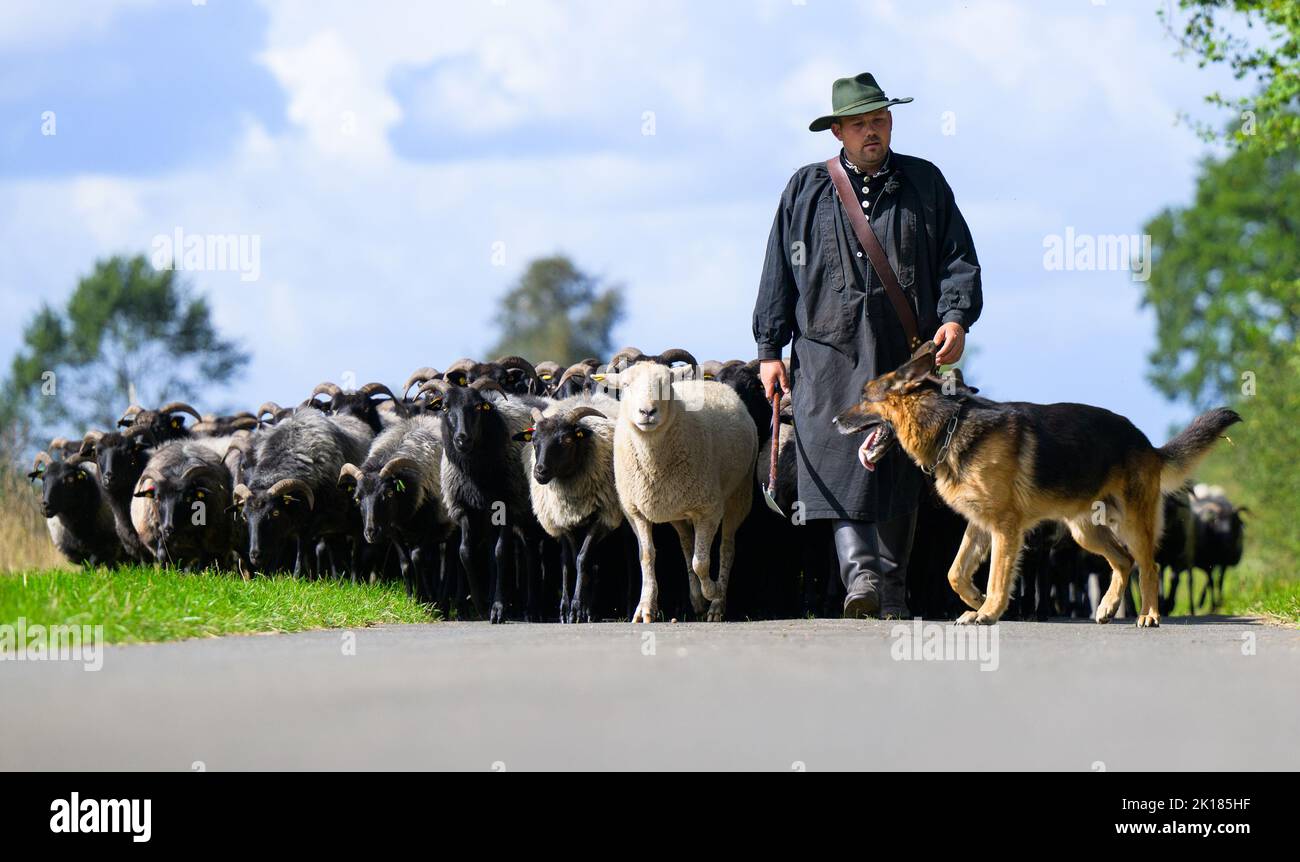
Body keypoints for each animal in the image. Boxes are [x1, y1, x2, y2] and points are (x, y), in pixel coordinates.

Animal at [832, 340, 1237, 631]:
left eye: (865, 397)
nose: (835, 420)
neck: (949, 425)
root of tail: (1147, 443)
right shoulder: (979, 526)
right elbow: (956, 573)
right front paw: (977, 601)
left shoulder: (1004, 529)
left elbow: (998, 574)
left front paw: (989, 610)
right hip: (1086, 532)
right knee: (1122, 562)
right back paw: (1107, 608)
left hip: (1132, 524)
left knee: (1147, 566)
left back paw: (1149, 616)